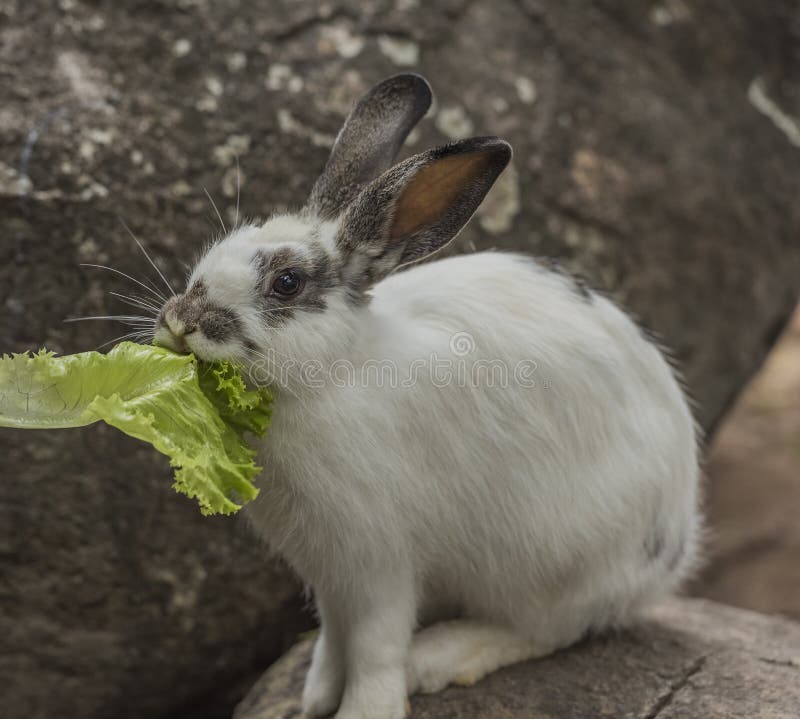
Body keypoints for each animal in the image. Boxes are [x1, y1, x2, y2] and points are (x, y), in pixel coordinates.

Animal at [153, 74, 701, 719]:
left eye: (287, 283)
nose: (181, 320)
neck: (334, 374)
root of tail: (675, 545)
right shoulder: (329, 574)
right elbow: (336, 638)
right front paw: (315, 697)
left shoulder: (377, 561)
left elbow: (376, 648)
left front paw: (364, 709)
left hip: (554, 559)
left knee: (546, 628)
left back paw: (441, 656)